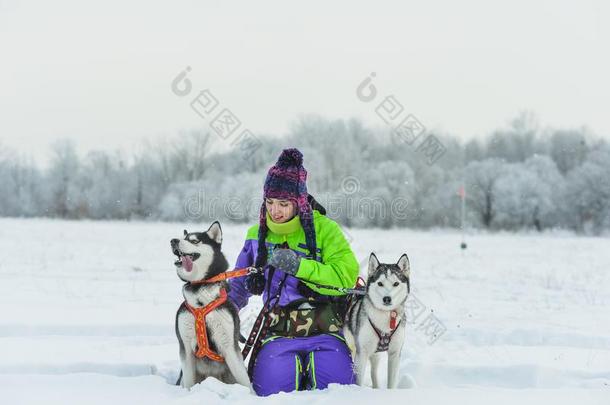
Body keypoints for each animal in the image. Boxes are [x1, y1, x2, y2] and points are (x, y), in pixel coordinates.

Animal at [169, 221, 249, 388]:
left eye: (194, 241)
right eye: (183, 237)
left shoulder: (230, 347)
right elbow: (188, 383)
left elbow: (246, 383)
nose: (173, 241)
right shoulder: (185, 348)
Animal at [342, 252, 408, 388]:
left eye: (396, 283)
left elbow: (391, 383)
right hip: (353, 346)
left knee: (374, 371)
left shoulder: (395, 353)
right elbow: (358, 380)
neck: (385, 316)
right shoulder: (362, 352)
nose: (387, 298)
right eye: (380, 283)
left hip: (375, 352)